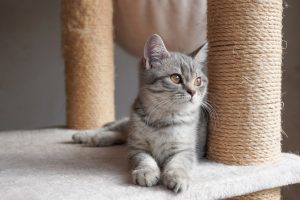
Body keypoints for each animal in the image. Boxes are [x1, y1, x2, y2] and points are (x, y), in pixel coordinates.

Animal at [73, 33, 209, 193]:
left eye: (198, 81)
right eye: (176, 78)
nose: (192, 92)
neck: (163, 119)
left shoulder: (186, 149)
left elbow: (179, 162)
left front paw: (177, 177)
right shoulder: (137, 147)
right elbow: (144, 159)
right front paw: (146, 172)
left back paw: (99, 138)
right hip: (130, 125)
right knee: (116, 128)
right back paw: (85, 135)